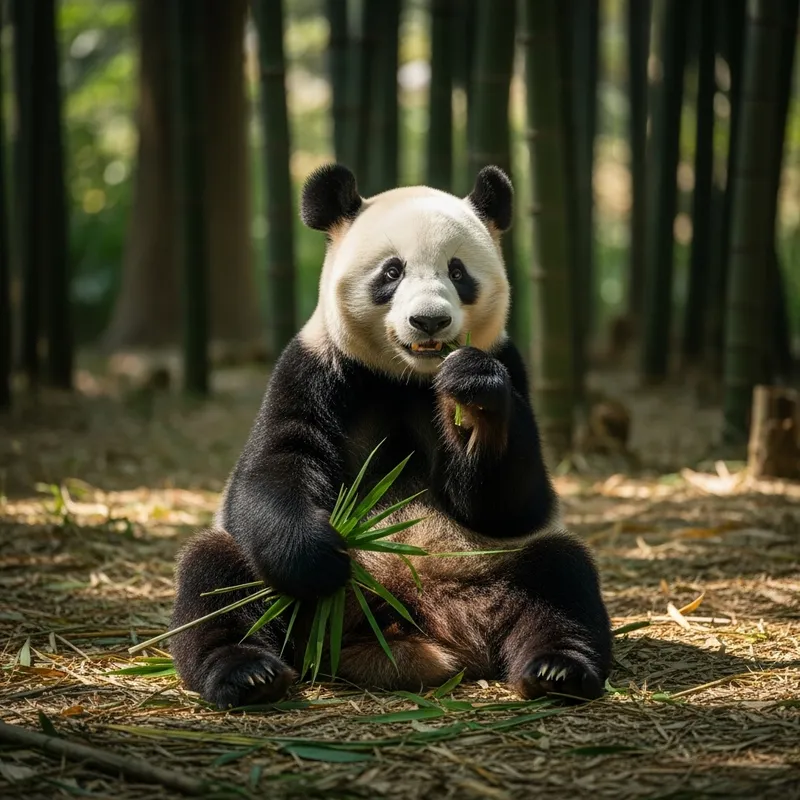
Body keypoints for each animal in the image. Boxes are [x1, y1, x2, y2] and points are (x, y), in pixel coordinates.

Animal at [169, 164, 612, 709]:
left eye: (458, 272)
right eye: (392, 272)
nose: (430, 320)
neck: (406, 377)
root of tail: (407, 622)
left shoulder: (512, 368)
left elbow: (511, 505)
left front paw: (473, 397)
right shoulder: (314, 369)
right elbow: (274, 466)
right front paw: (321, 559)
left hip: (494, 569)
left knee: (561, 579)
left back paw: (558, 670)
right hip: (270, 586)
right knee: (217, 581)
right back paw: (247, 673)